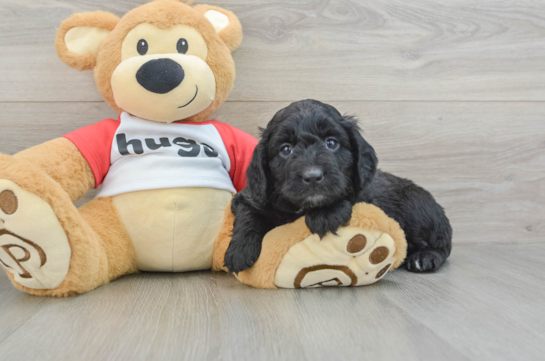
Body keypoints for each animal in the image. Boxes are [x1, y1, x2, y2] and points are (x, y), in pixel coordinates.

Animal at [223, 98, 452, 272]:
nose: (313, 177)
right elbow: (249, 214)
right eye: (286, 149)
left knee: (443, 244)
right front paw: (239, 251)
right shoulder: (252, 195)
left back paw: (425, 258)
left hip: (417, 209)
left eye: (331, 143)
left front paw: (325, 214)